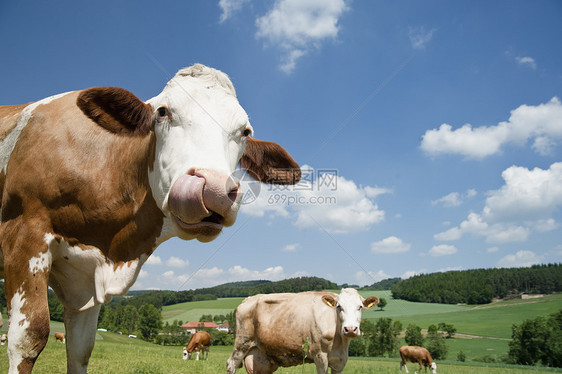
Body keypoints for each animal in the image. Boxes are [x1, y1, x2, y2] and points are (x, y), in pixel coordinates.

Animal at [0, 62, 300, 372]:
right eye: (163, 111)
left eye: (245, 131)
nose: (213, 190)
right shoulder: (24, 235)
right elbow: (28, 338)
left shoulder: (85, 282)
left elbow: (81, 349)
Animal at [223, 288, 376, 372]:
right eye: (339, 306)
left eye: (360, 307)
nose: (350, 329)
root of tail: (249, 298)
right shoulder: (319, 355)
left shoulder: (340, 360)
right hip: (242, 342)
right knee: (231, 364)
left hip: (261, 357)